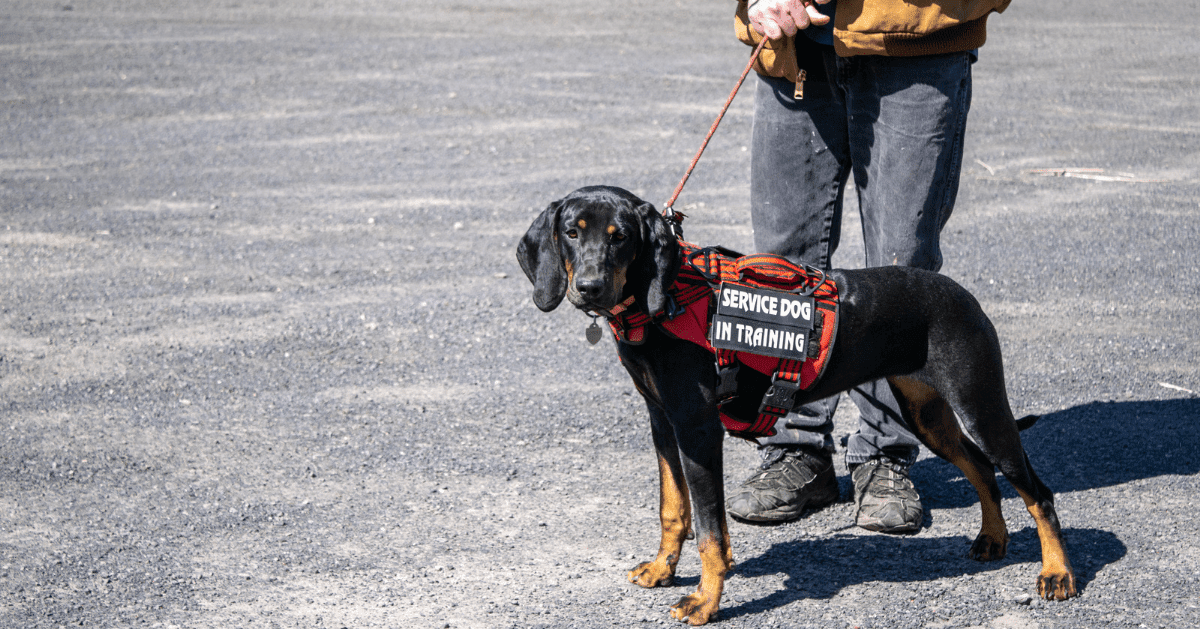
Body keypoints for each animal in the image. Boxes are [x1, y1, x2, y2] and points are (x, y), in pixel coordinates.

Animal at [516, 186, 1080, 624]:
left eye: (621, 236)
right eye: (571, 231)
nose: (588, 287)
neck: (667, 298)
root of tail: (963, 295)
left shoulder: (698, 428)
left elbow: (710, 531)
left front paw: (705, 601)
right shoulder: (662, 421)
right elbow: (673, 509)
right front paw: (661, 570)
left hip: (980, 404)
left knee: (1037, 491)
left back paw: (1057, 573)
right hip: (927, 415)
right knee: (982, 469)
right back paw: (993, 539)